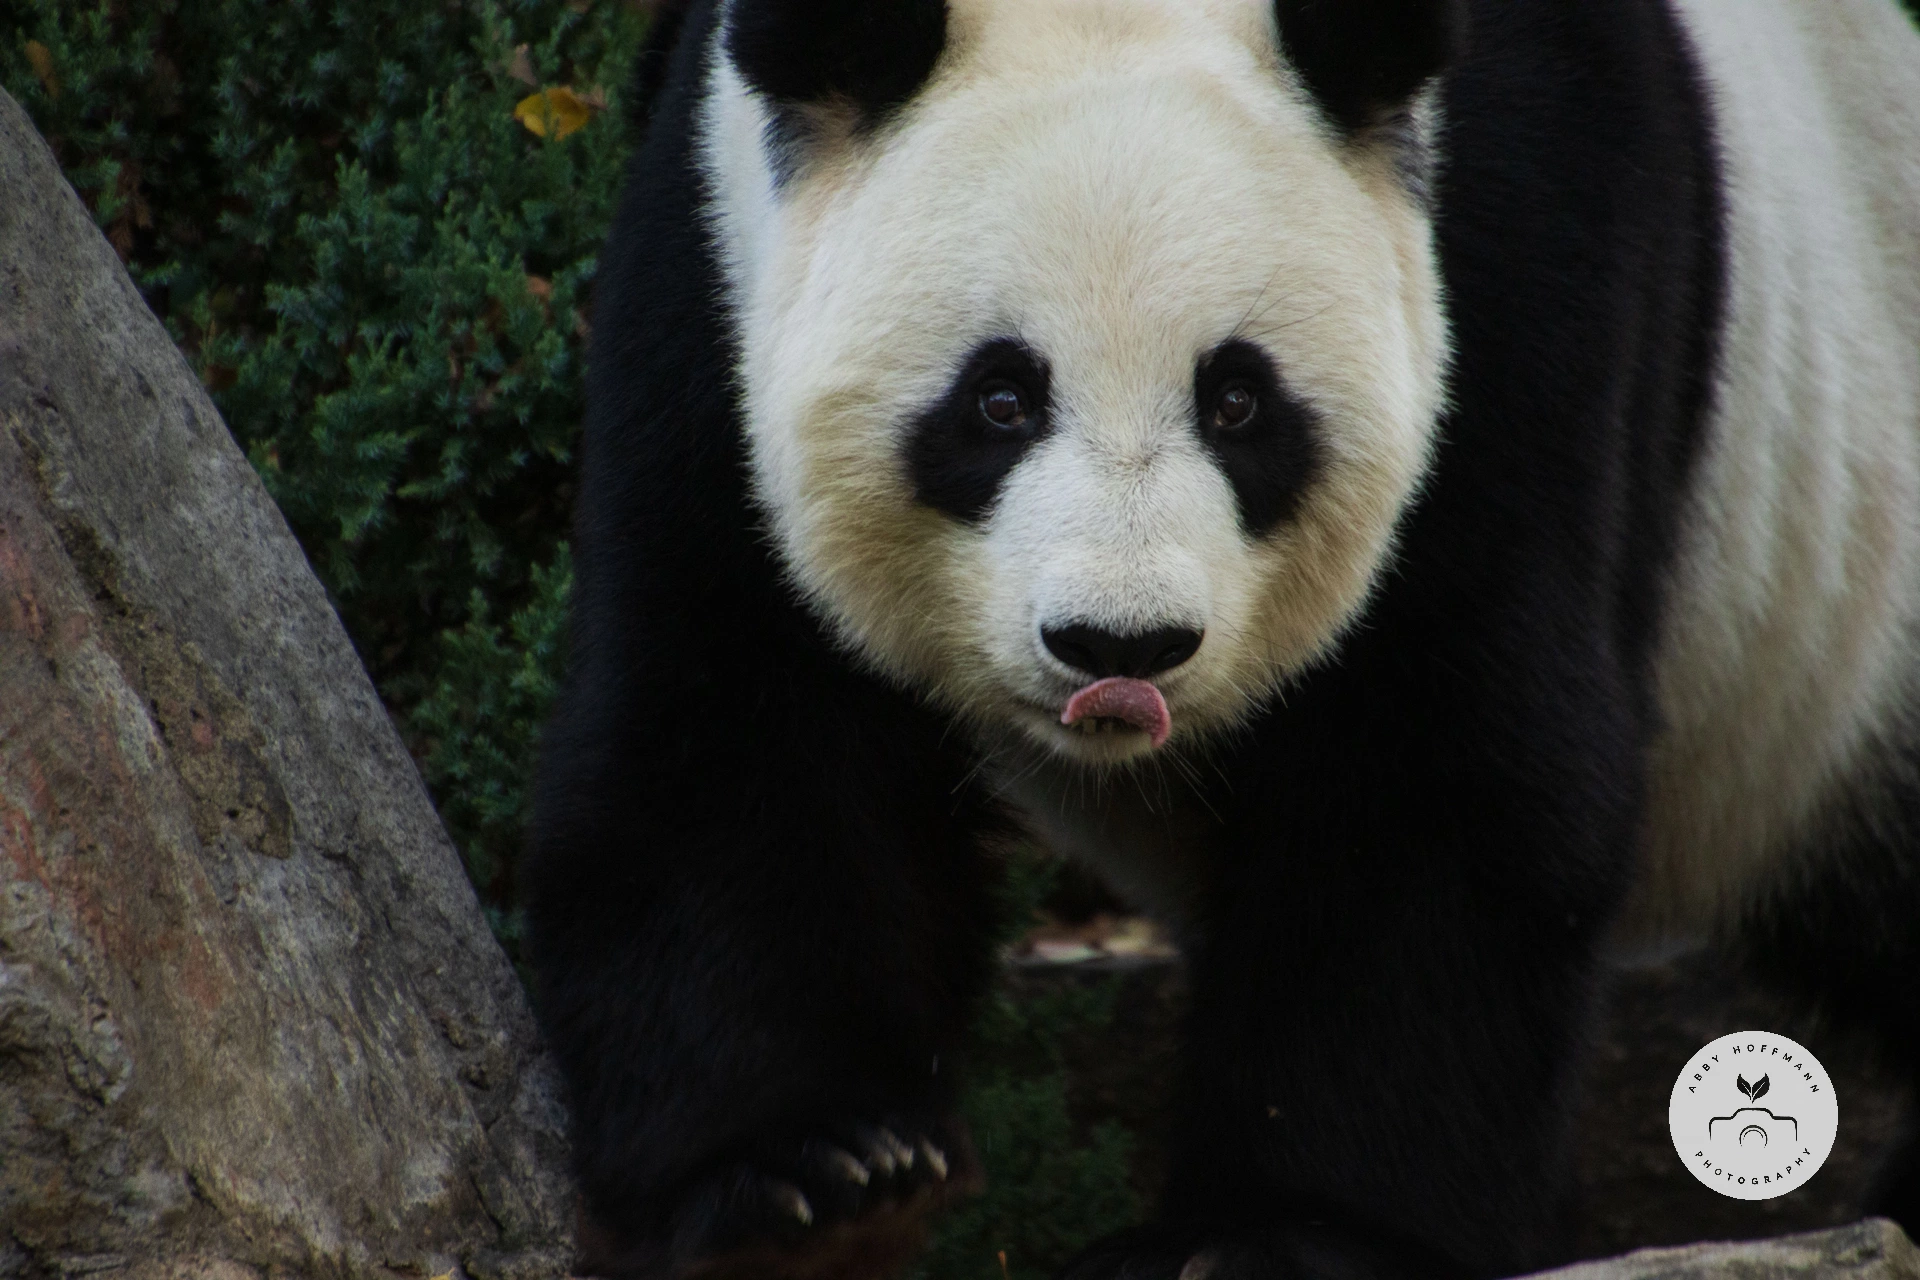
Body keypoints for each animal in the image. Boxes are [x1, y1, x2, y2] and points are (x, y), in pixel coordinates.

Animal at [526, 0, 1920, 1276]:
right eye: (999, 397)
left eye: (1239, 400)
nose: (1119, 647)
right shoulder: (711, 267)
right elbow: (730, 721)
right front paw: (818, 1176)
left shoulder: (1527, 269)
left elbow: (1442, 769)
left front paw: (1287, 1231)